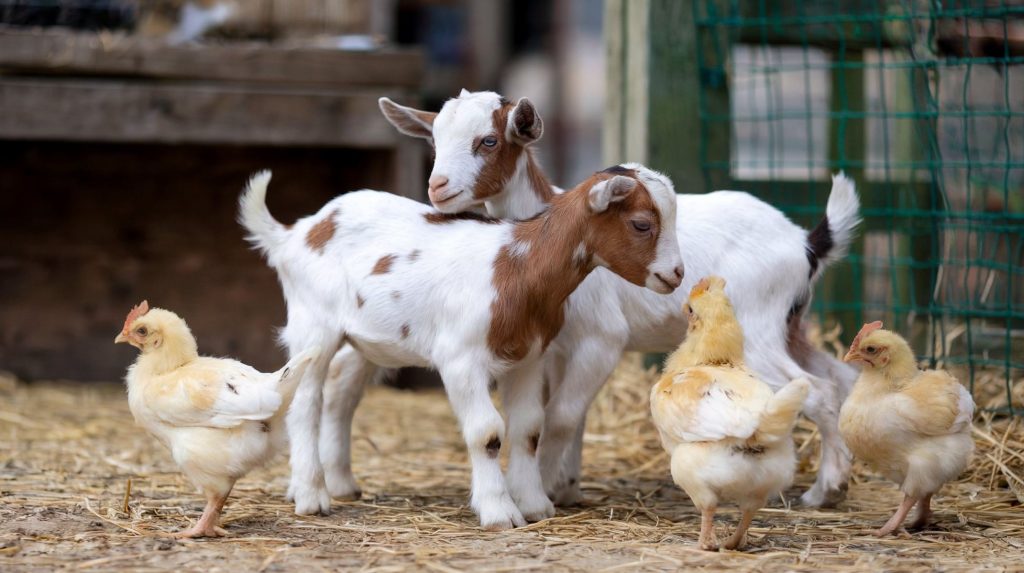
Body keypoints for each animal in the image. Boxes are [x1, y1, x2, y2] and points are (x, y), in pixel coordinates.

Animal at [240, 162, 684, 527]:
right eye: (641, 224)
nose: (676, 274)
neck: (516, 266)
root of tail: (297, 233)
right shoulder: (461, 359)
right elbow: (486, 432)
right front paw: (499, 511)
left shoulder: (528, 357)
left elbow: (528, 429)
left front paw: (534, 505)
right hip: (313, 324)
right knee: (305, 403)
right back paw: (312, 497)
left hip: (364, 339)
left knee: (338, 396)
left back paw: (337, 485)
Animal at [380, 89, 860, 505]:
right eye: (434, 138)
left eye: (489, 140)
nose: (438, 187)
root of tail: (805, 243)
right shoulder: (554, 349)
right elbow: (571, 417)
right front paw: (567, 486)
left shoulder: (601, 338)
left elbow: (562, 416)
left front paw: (546, 487)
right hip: (790, 325)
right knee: (839, 379)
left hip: (757, 329)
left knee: (817, 391)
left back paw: (823, 491)